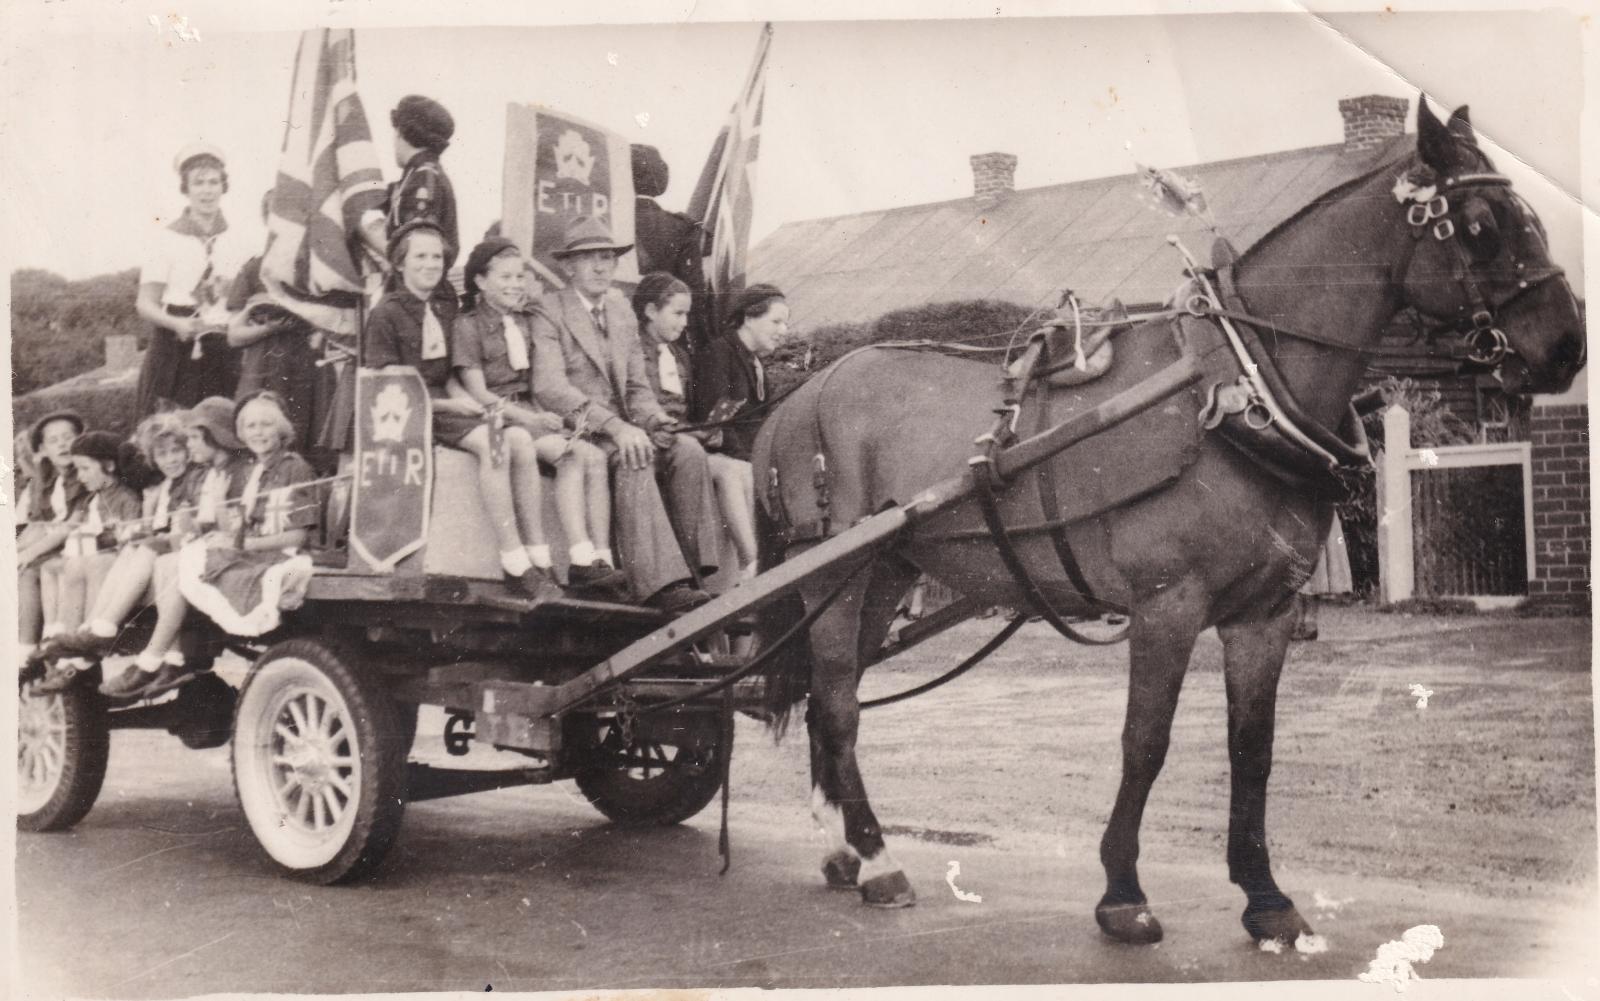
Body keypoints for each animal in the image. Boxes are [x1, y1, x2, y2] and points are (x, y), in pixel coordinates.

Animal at [748, 101, 1587, 940]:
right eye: (1480, 225)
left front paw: (1266, 897)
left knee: (831, 696)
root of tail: (797, 397)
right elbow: (1145, 741)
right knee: (838, 703)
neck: (1239, 389)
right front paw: (1123, 891)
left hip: (886, 572)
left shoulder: (1265, 612)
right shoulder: (1167, 605)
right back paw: (879, 859)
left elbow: (1253, 749)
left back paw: (844, 850)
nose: (1569, 345)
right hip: (833, 573)